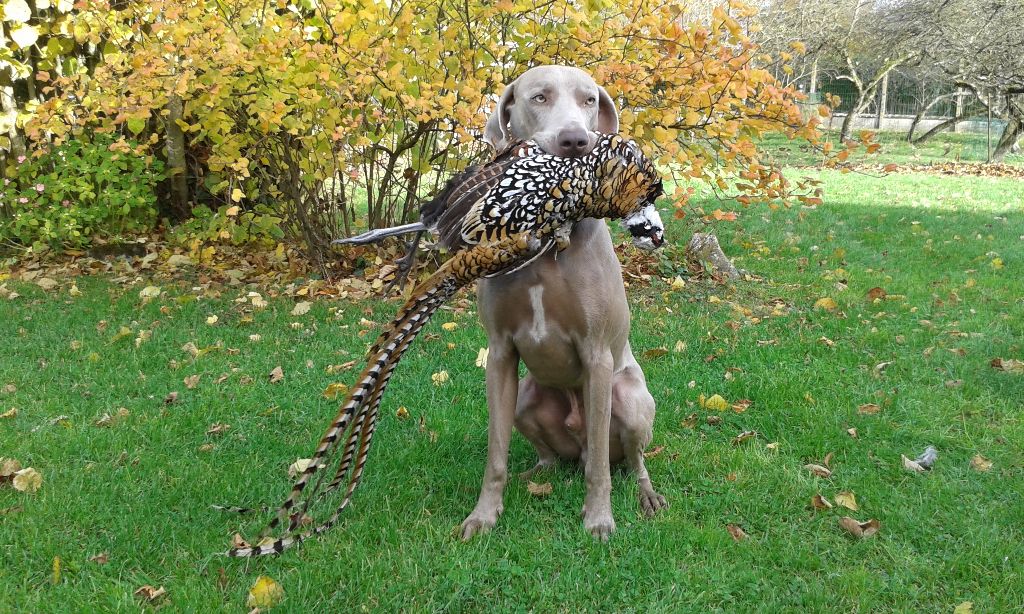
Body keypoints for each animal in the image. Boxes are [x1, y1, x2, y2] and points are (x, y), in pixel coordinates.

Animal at [460, 64, 667, 540]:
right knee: (553, 456)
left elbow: (601, 471)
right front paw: (484, 514)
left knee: (626, 460)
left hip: (628, 398)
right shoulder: (499, 352)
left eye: (589, 99)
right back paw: (537, 472)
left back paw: (646, 495)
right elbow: (494, 454)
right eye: (539, 97)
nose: (576, 142)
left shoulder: (596, 354)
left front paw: (599, 518)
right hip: (525, 397)